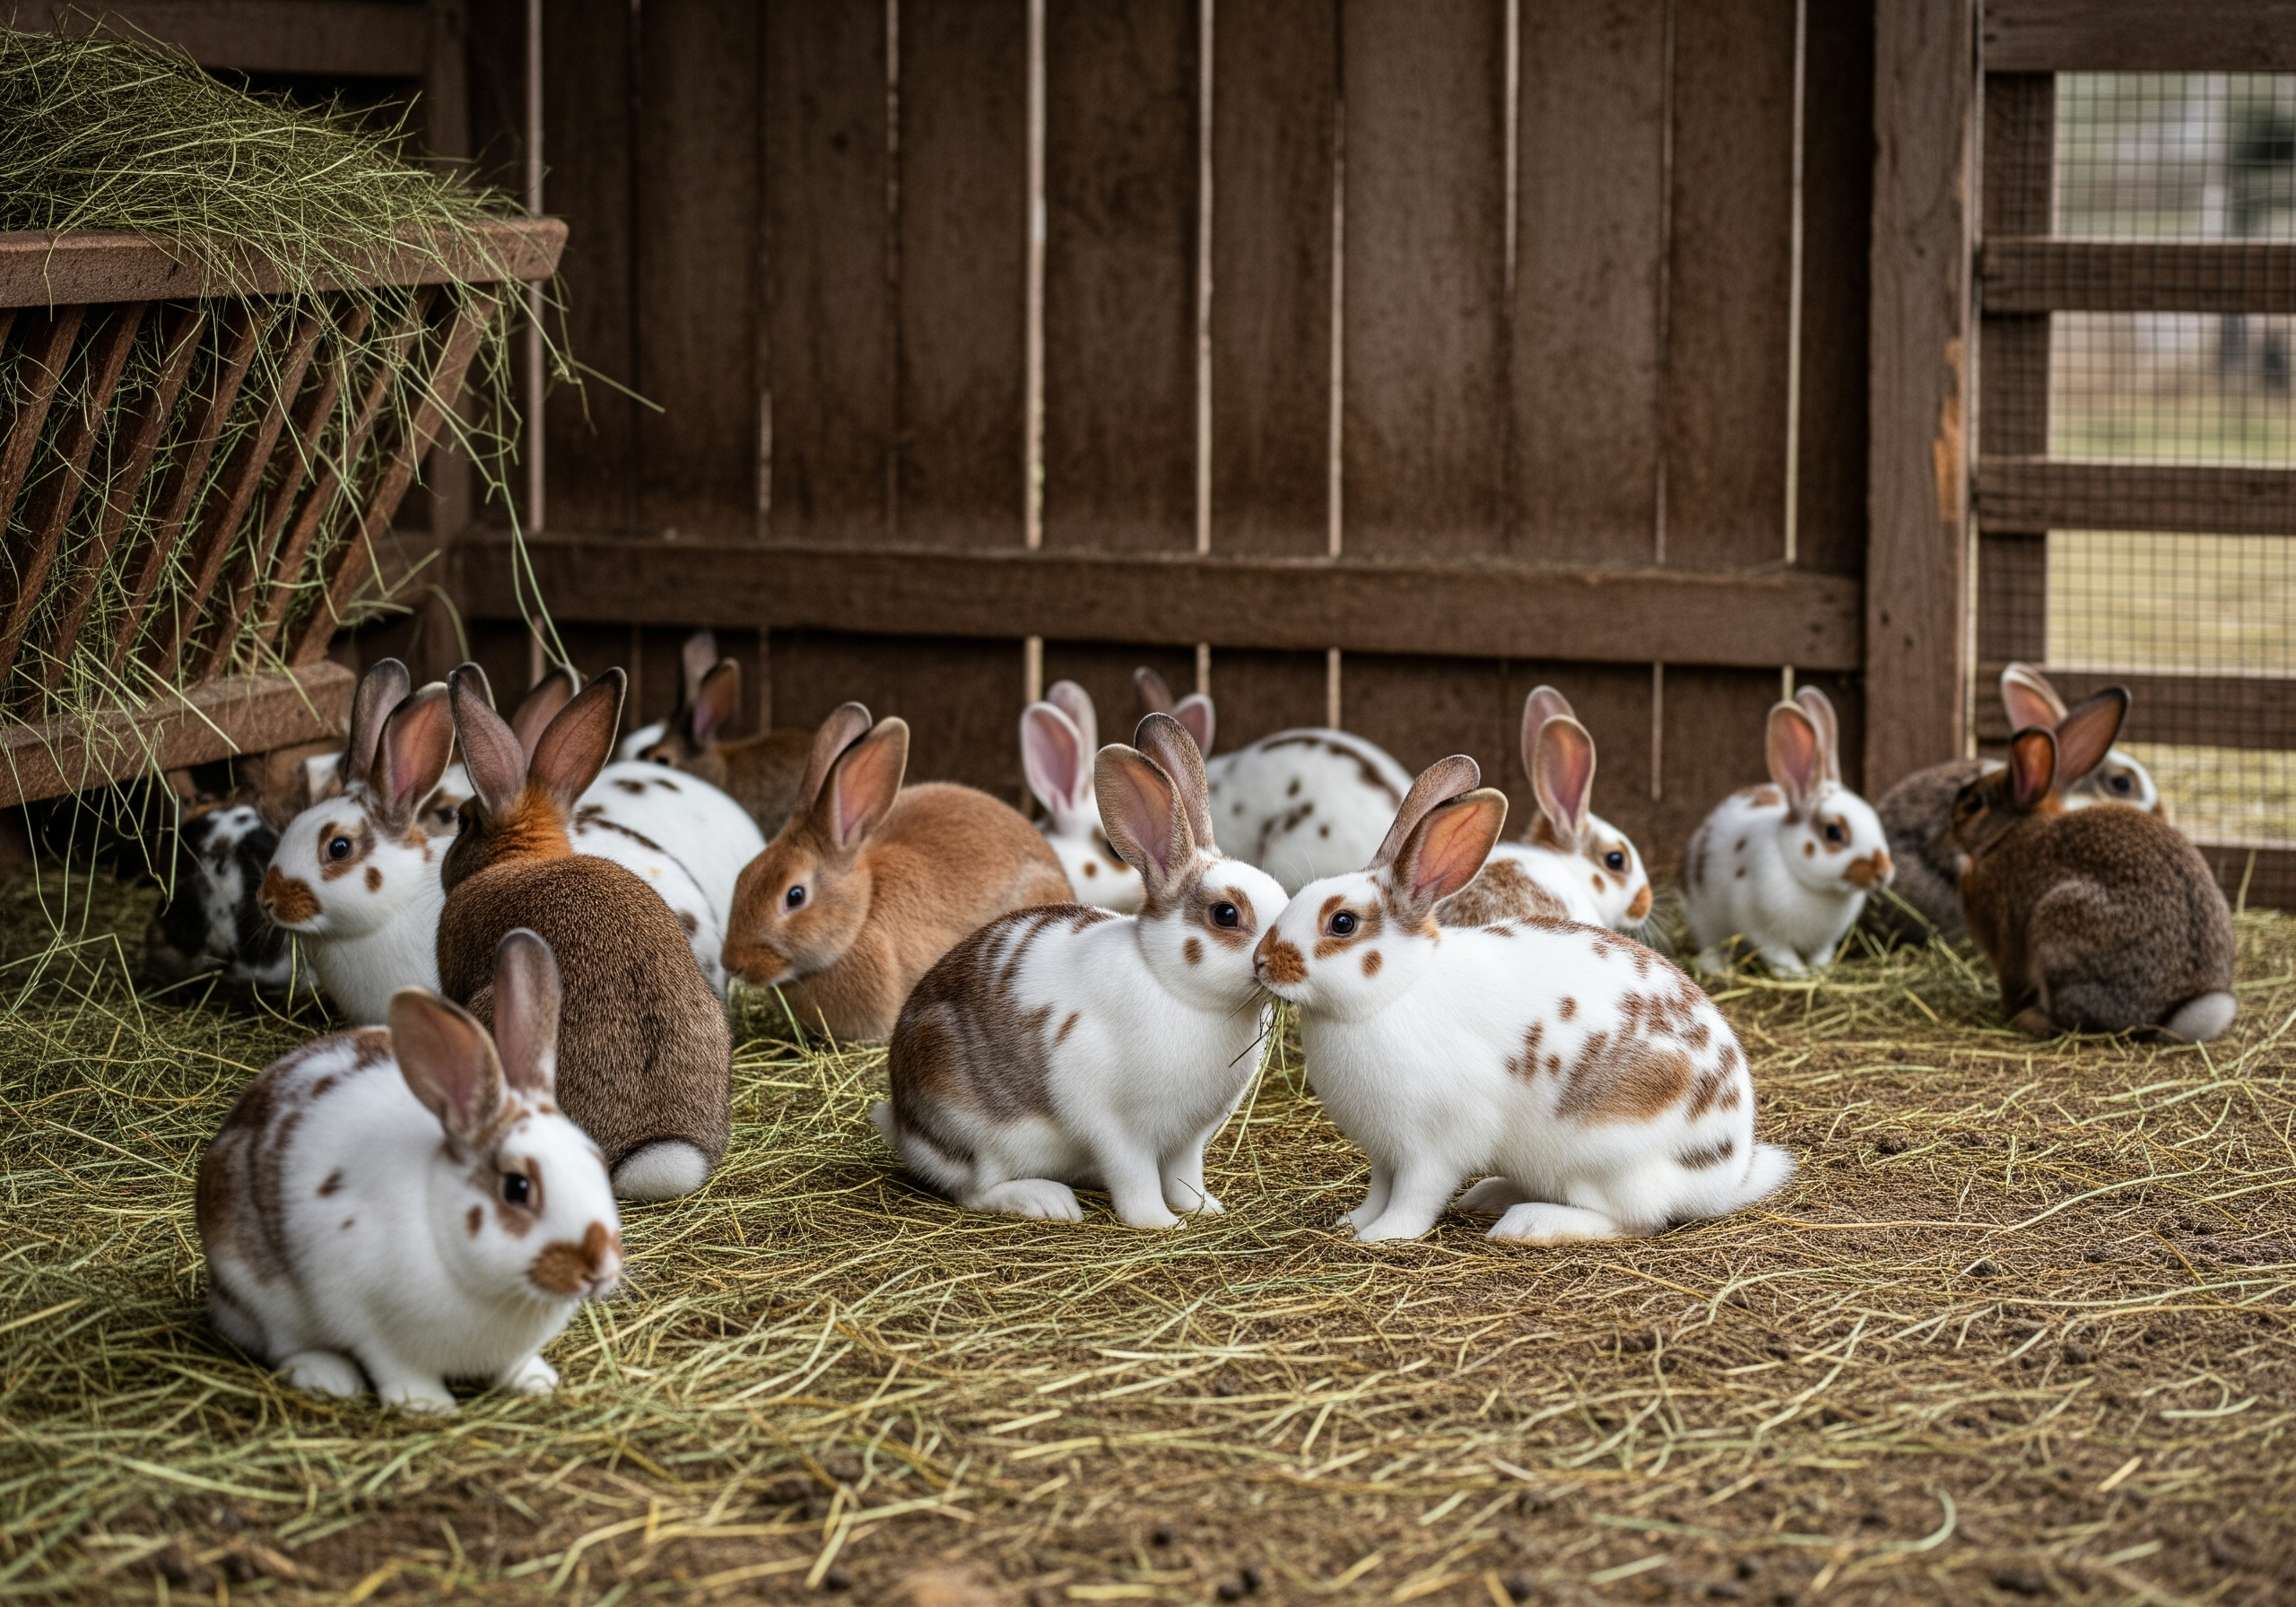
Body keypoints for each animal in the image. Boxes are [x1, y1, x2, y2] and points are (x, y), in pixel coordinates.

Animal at [197, 928, 623, 1413]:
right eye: (517, 1187)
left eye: (597, 1162)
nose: (599, 1269)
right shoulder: (370, 1323)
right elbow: (397, 1369)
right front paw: (428, 1406)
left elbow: (514, 1365)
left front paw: (537, 1381)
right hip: (261, 1293)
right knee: (284, 1346)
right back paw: (329, 1377)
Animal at [875, 713, 1288, 1227]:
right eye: (1226, 914)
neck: (1173, 986)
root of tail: (903, 1125)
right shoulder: (1115, 1126)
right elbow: (1135, 1179)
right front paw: (1159, 1222)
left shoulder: (1188, 1138)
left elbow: (1183, 1176)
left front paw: (1203, 1209)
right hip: (970, 1124)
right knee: (975, 1190)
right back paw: (1049, 1201)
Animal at [1251, 755, 1794, 1245]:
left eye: (1342, 922)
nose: (1261, 961)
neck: (1395, 992)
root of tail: (1727, 1176)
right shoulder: (1384, 1152)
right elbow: (1378, 1192)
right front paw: (1354, 1223)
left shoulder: (1431, 1148)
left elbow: (1413, 1199)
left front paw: (1382, 1236)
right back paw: (1490, 1194)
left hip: (1606, 1158)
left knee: (1635, 1219)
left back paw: (1527, 1224)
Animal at [1682, 687, 1893, 976]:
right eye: (1834, 832)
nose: (1885, 872)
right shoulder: (1761, 929)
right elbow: (1781, 956)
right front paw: (1797, 975)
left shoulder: (1825, 940)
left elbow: (1820, 955)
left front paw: (1819, 971)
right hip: (1704, 917)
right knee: (1710, 943)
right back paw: (1717, 967)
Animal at [1954, 689, 2236, 1042]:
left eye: (1976, 803)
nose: (1949, 824)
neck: (2006, 833)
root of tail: (2171, 1013)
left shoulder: (2006, 948)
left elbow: (2012, 986)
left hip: (2061, 930)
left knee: (2070, 1021)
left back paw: (2030, 1020)